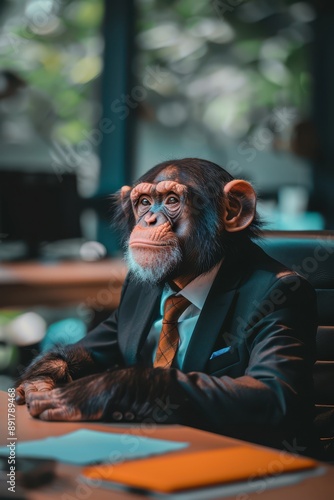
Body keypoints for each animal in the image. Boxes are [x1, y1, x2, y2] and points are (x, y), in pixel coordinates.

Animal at [15, 158, 318, 456]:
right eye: (145, 202)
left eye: (172, 200)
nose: (149, 219)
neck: (186, 284)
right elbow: (90, 349)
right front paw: (41, 379)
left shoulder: (279, 298)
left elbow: (272, 390)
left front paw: (90, 392)